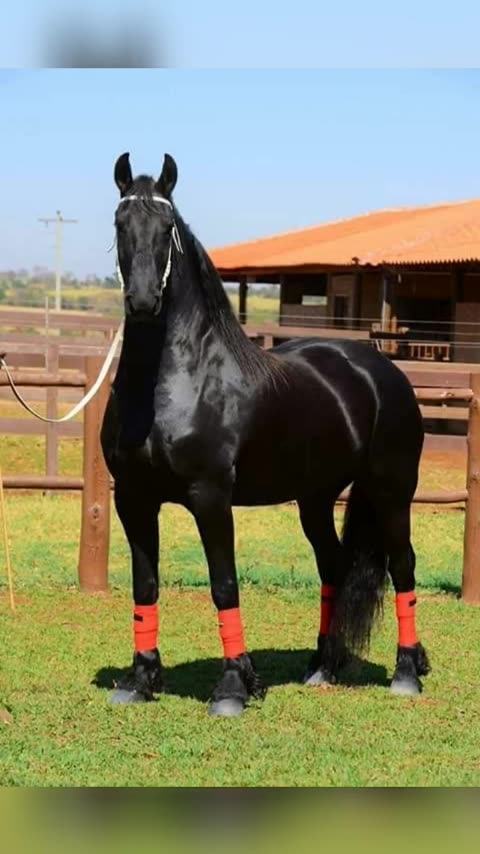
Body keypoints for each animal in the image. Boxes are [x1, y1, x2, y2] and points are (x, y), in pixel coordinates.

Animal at [101, 152, 430, 717]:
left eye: (168, 227)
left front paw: (233, 687)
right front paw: (140, 679)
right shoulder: (133, 498)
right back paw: (322, 667)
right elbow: (144, 586)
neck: (174, 382)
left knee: (402, 567)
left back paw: (406, 673)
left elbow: (224, 585)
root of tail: (382, 371)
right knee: (333, 566)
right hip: (316, 498)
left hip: (391, 491)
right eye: (121, 223)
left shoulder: (210, 496)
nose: (143, 301)